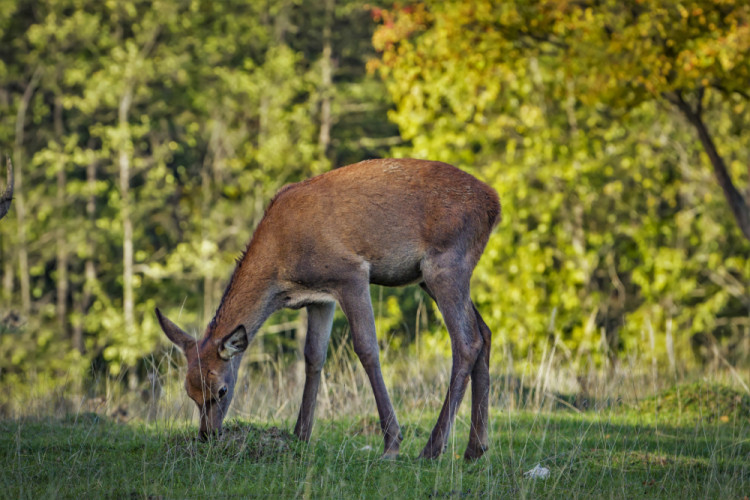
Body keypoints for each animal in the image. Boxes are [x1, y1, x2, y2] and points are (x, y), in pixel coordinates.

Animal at [156, 158, 502, 458]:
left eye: (222, 390)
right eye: (189, 391)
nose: (207, 435)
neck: (282, 269)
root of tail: (495, 204)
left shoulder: (350, 274)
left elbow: (366, 349)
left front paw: (391, 443)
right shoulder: (319, 298)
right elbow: (313, 357)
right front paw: (300, 435)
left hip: (445, 263)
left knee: (466, 342)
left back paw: (432, 449)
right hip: (430, 276)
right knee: (484, 332)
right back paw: (475, 448)